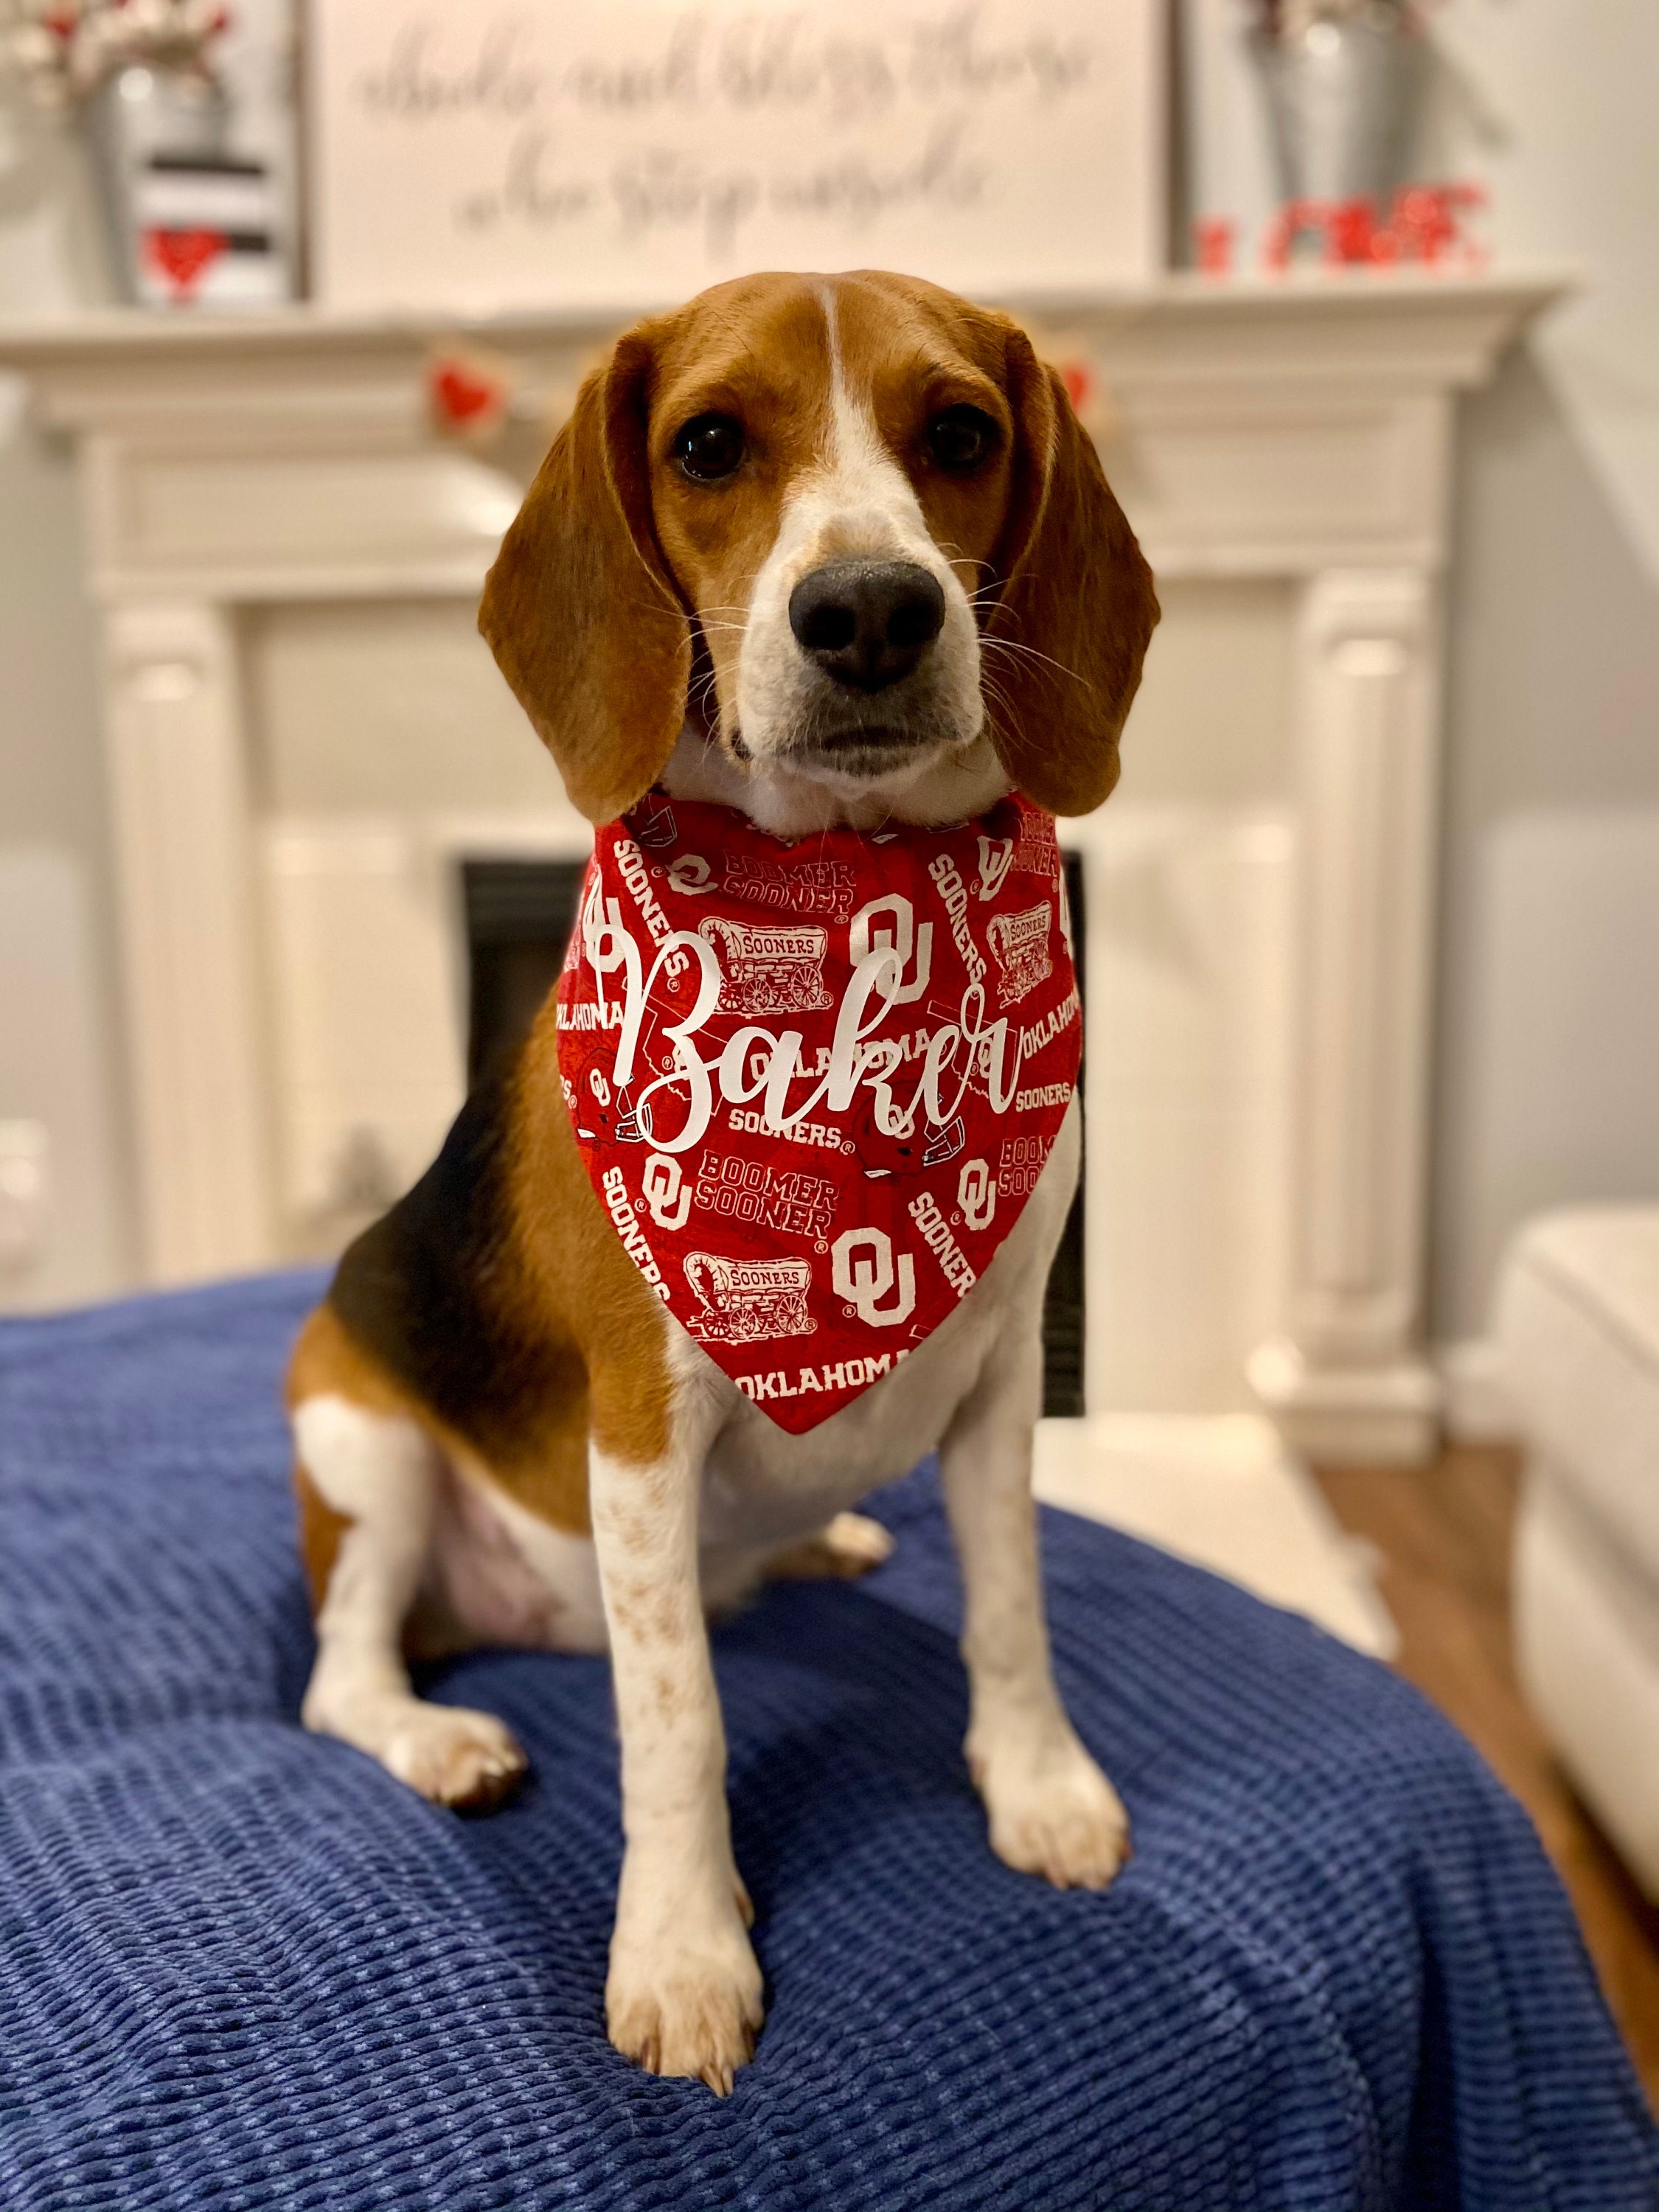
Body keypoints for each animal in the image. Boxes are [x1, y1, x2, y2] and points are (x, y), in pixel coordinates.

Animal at [285, 268, 1159, 2079]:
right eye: (704, 446)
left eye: (960, 431)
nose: (873, 611)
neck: (850, 905)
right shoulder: (641, 1429)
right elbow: (675, 1716)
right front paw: (685, 1952)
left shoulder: (1001, 1382)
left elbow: (1014, 1610)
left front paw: (1039, 1787)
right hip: (359, 1436)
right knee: (342, 1675)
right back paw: (440, 1736)